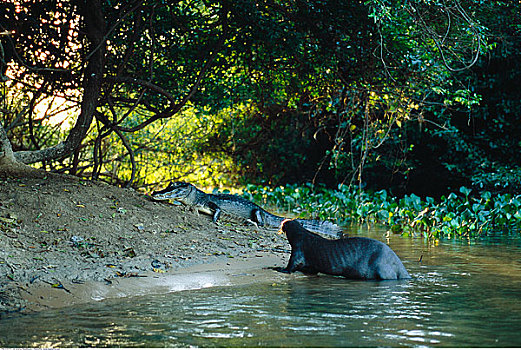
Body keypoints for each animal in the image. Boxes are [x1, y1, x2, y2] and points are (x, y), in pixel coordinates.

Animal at [276, 220, 410, 280]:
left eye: (284, 223)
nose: (281, 223)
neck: (301, 236)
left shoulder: (298, 250)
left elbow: (292, 265)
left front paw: (280, 269)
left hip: (382, 267)